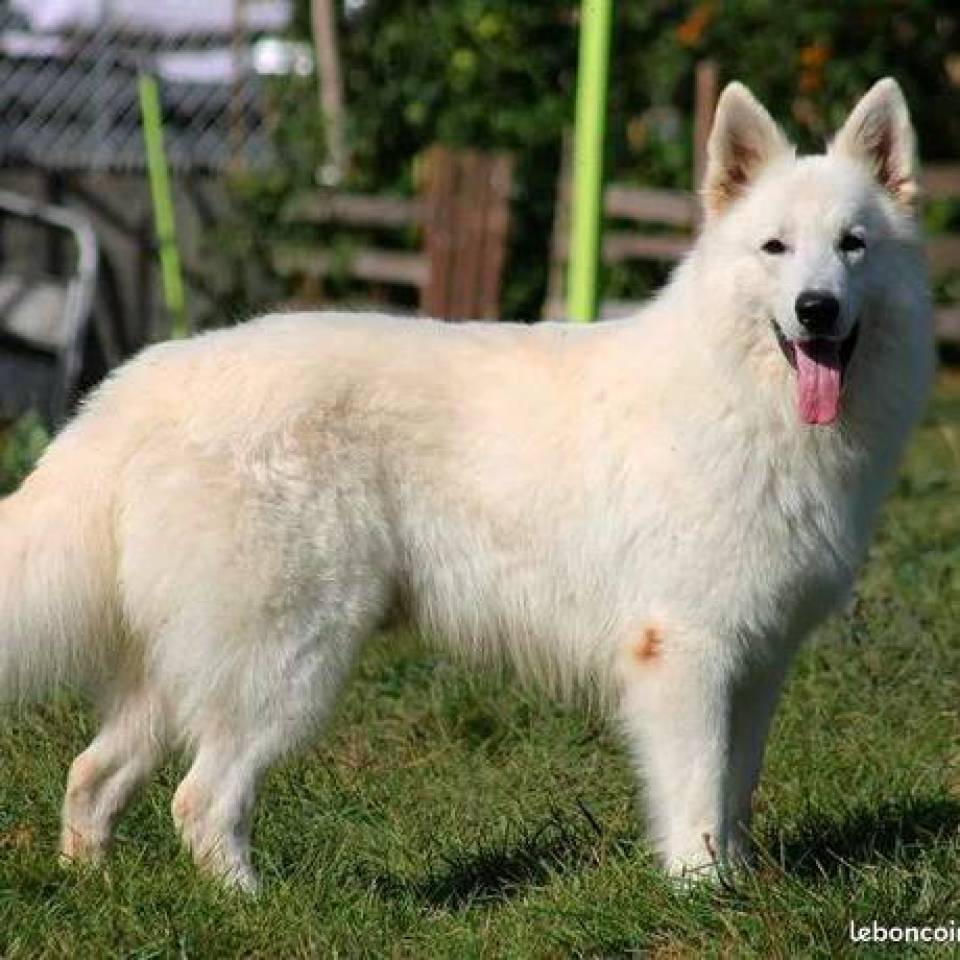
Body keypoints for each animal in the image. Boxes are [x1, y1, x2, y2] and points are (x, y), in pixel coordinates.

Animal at [0, 79, 933, 892]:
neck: (743, 394)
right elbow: (696, 795)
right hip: (285, 662)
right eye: (775, 248)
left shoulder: (758, 664)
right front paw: (702, 897)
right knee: (201, 800)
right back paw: (252, 905)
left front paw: (741, 885)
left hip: (179, 672)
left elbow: (735, 790)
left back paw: (90, 885)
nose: (816, 309)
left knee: (92, 774)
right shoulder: (685, 656)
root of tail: (138, 384)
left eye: (852, 245)